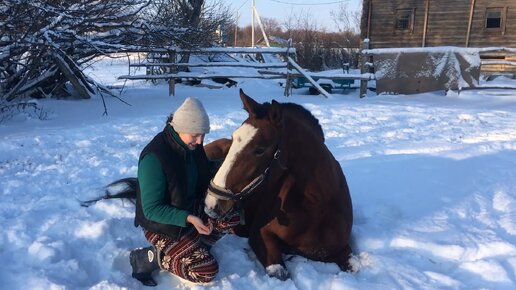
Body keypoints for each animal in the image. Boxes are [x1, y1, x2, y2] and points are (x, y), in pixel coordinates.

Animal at [204, 89, 352, 280]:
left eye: (260, 149)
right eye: (233, 139)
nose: (211, 203)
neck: (318, 206)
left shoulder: (342, 249)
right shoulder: (261, 235)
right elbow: (280, 273)